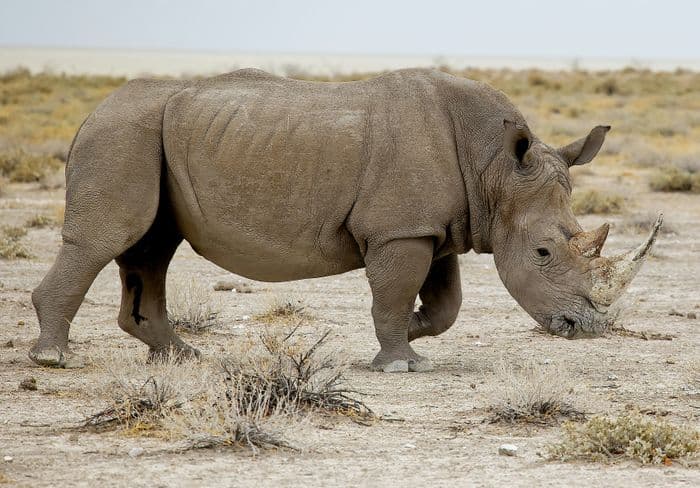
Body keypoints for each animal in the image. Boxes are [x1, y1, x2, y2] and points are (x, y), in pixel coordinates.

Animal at [29, 68, 662, 372]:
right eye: (543, 254)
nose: (586, 328)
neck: (496, 171)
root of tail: (92, 111)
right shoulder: (398, 229)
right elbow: (393, 293)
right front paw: (399, 364)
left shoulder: (433, 229)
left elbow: (445, 305)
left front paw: (411, 337)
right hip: (123, 133)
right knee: (108, 240)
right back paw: (54, 359)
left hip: (146, 135)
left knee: (151, 248)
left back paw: (180, 357)